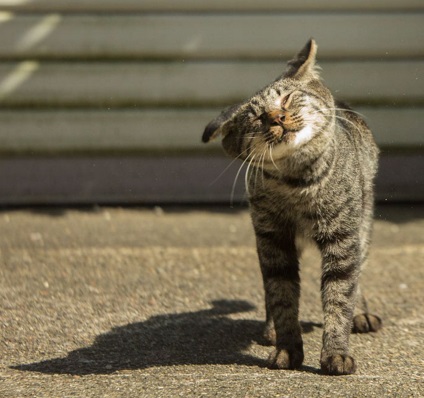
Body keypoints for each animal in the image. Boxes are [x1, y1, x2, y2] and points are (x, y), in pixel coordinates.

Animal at [201, 38, 380, 374]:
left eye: (285, 99)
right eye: (256, 118)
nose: (276, 118)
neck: (298, 184)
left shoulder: (342, 237)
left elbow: (340, 293)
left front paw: (336, 352)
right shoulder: (273, 238)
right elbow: (281, 293)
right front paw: (286, 348)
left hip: (362, 225)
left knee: (358, 272)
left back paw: (361, 313)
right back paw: (271, 329)